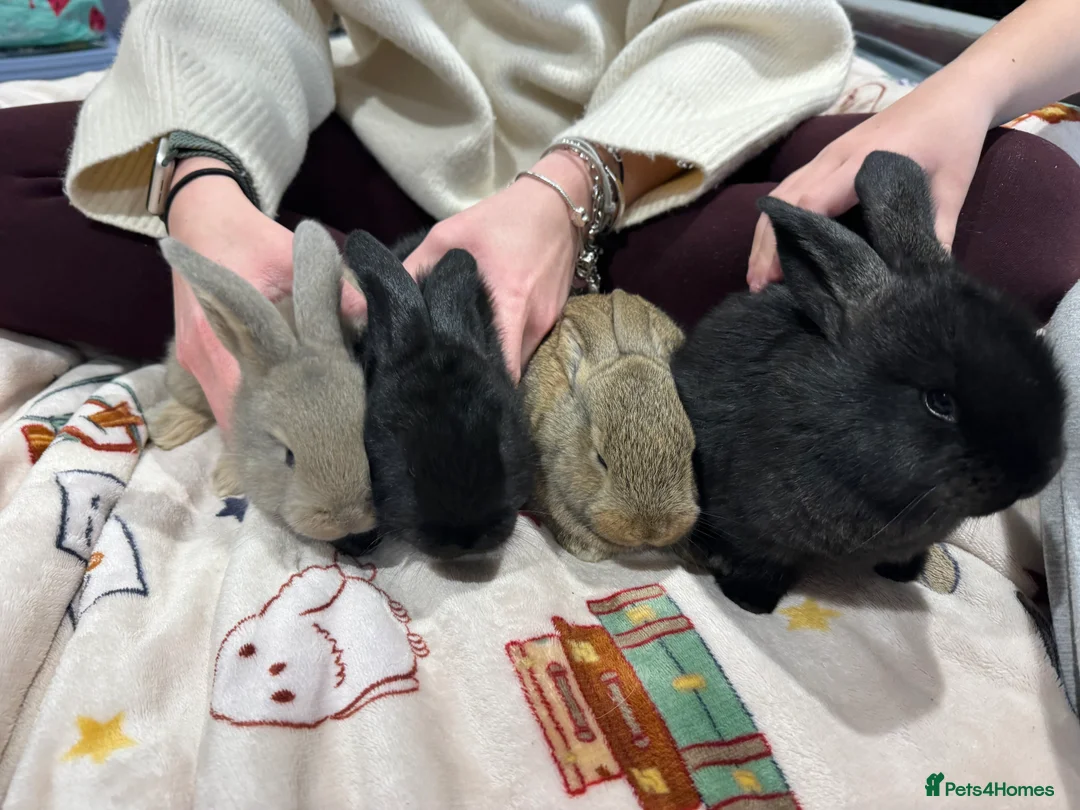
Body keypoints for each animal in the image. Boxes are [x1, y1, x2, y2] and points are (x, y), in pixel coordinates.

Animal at [671, 150, 1065, 615]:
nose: (1035, 477)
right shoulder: (749, 526)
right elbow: (760, 561)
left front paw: (905, 572)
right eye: (939, 401)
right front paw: (749, 601)